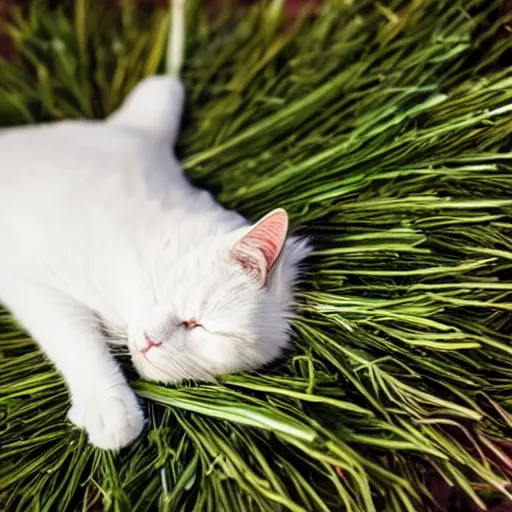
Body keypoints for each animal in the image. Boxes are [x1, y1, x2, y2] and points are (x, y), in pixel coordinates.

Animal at [0, 75, 310, 448]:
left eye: (201, 327)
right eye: (160, 289)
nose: (151, 340)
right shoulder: (34, 281)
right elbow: (78, 340)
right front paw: (110, 405)